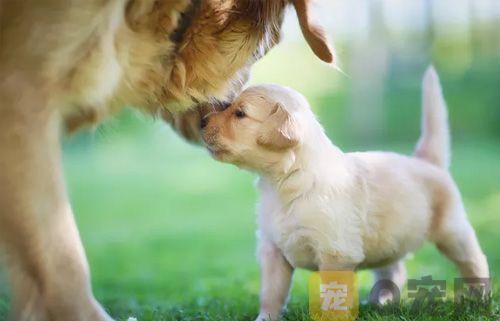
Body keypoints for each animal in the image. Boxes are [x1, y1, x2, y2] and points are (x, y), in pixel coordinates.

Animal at [201, 66, 490, 318]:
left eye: (240, 114)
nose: (201, 122)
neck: (284, 181)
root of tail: (426, 161)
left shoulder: (336, 253)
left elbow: (333, 293)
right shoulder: (273, 250)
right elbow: (271, 293)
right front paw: (265, 318)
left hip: (452, 230)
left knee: (475, 260)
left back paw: (480, 300)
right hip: (390, 238)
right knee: (394, 269)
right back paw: (382, 302)